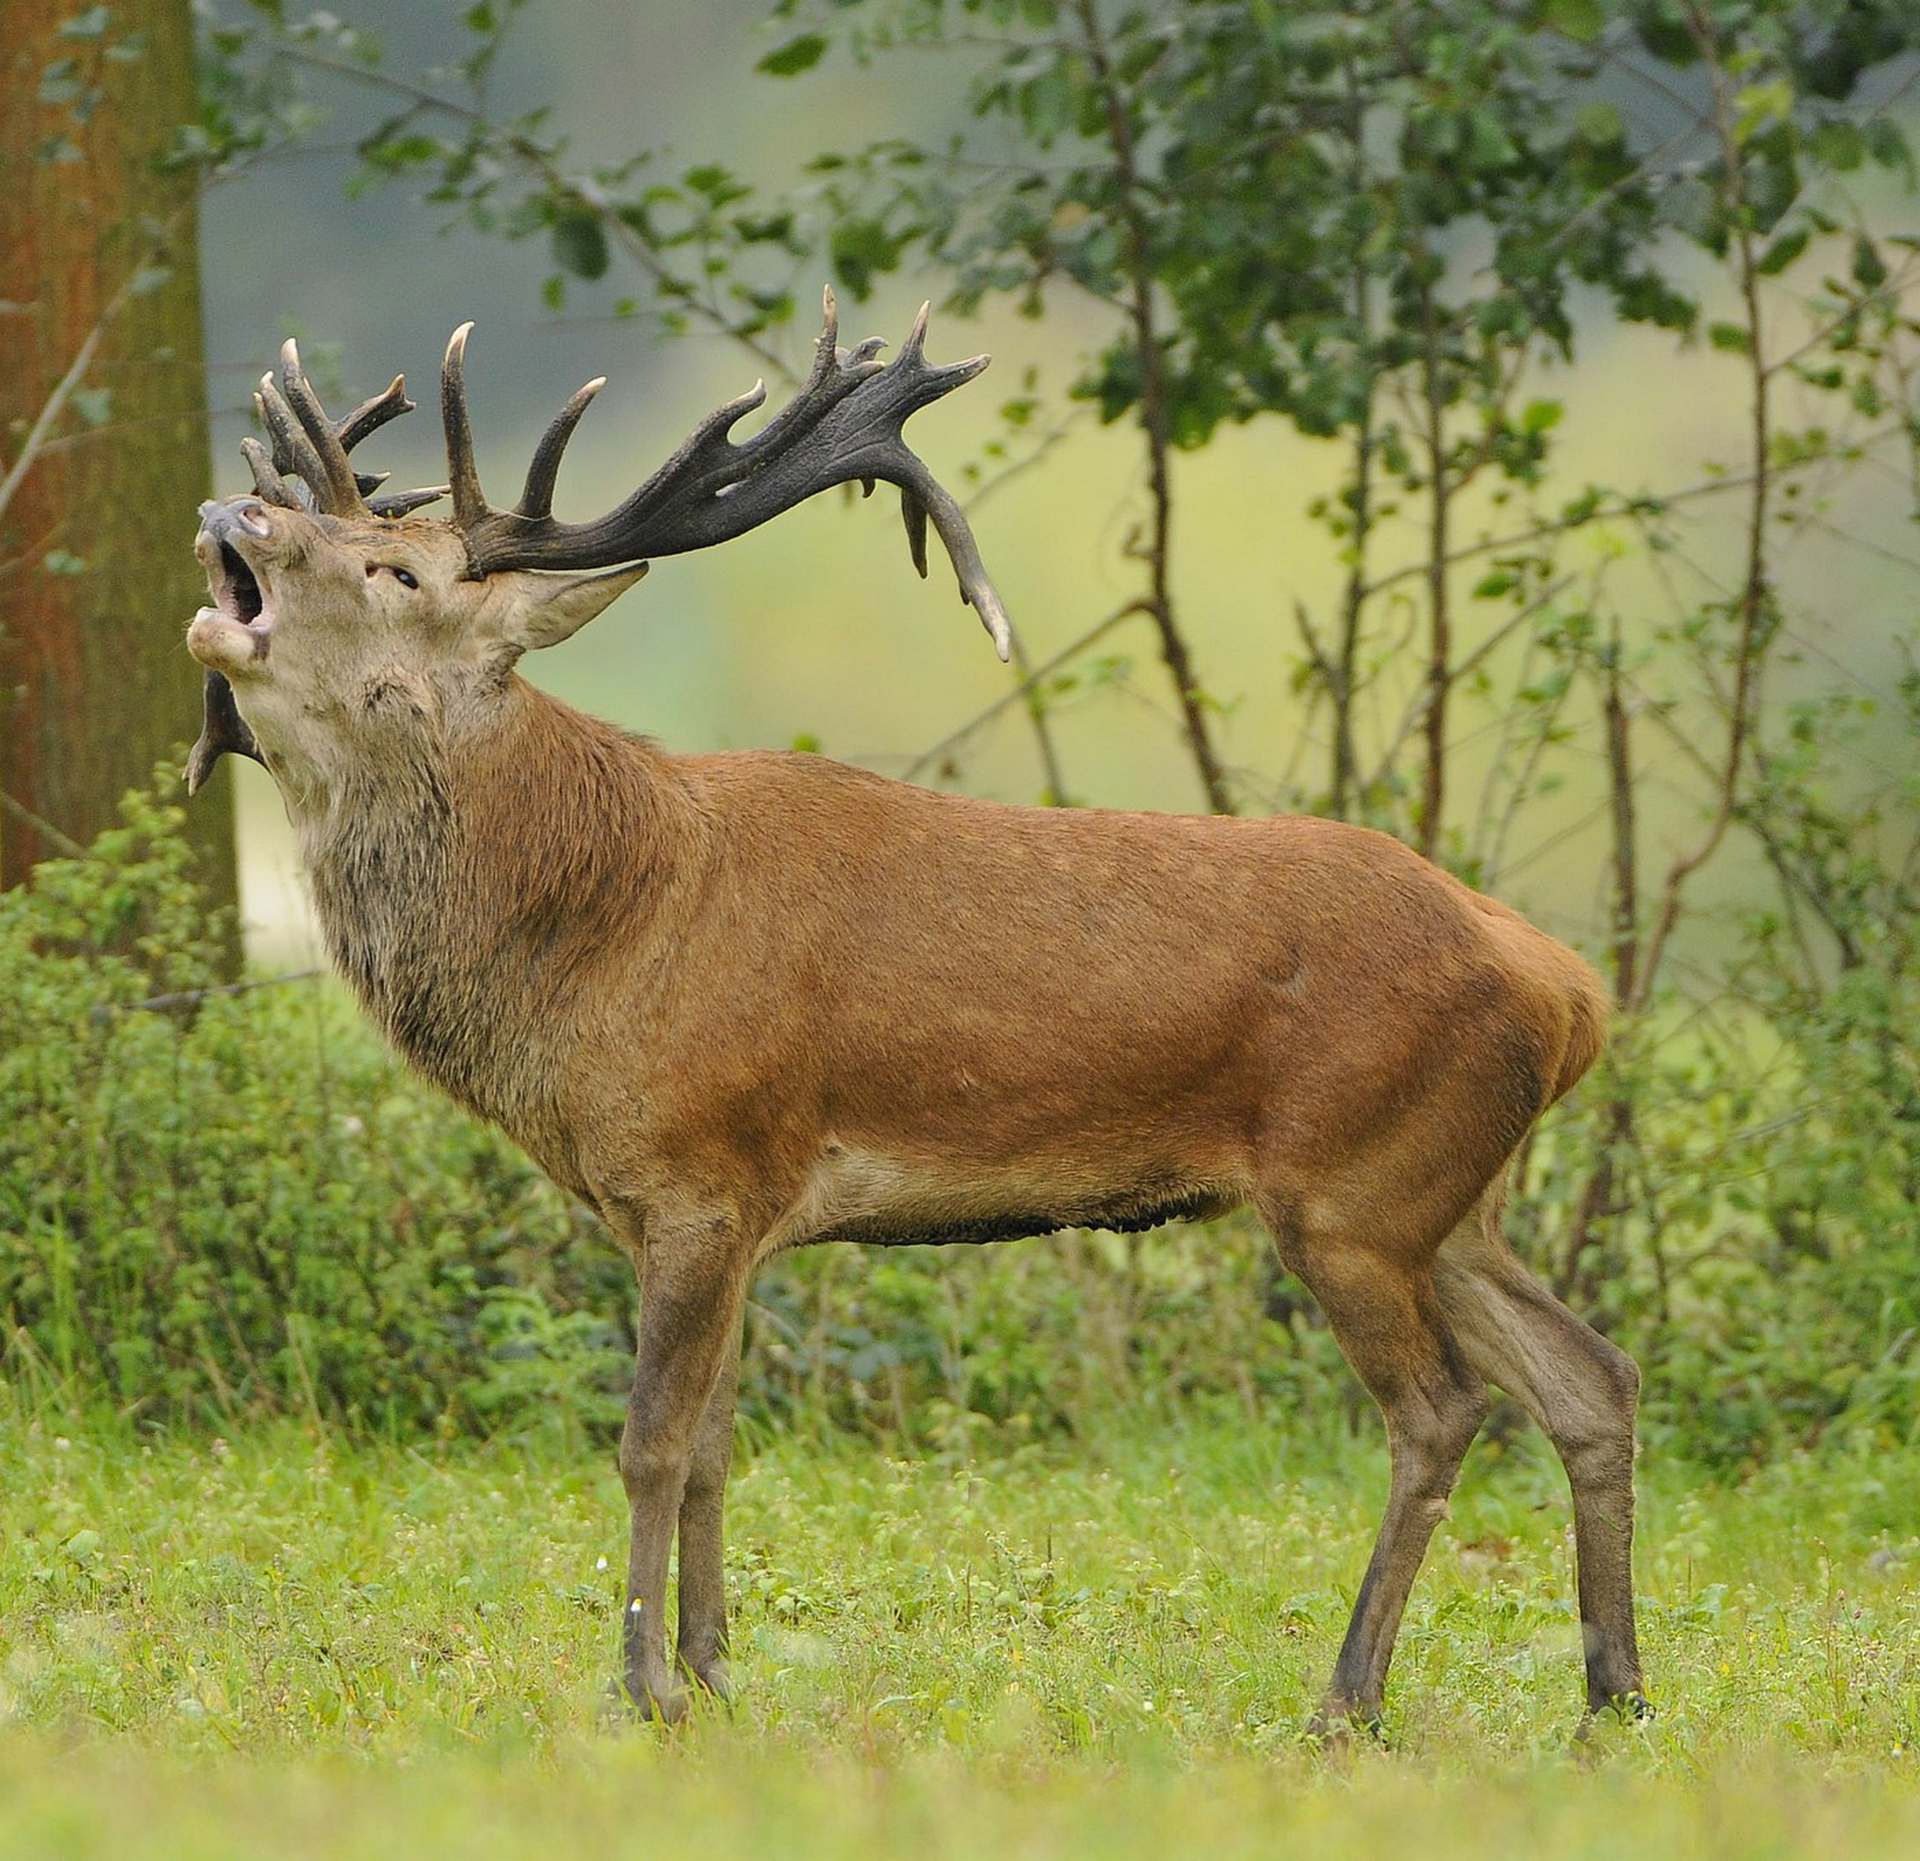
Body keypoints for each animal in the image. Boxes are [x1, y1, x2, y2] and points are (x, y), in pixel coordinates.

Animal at [183, 286, 1651, 1728]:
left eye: (396, 570)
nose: (229, 514)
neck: (602, 931)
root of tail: (1571, 986)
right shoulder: (722, 1212)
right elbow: (716, 1442)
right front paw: (714, 1672)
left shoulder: (702, 1167)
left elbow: (652, 1439)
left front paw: (641, 1685)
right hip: (1449, 1194)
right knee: (1589, 1373)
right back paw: (1612, 1692)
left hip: (1354, 1183)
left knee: (1444, 1408)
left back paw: (1350, 1698)